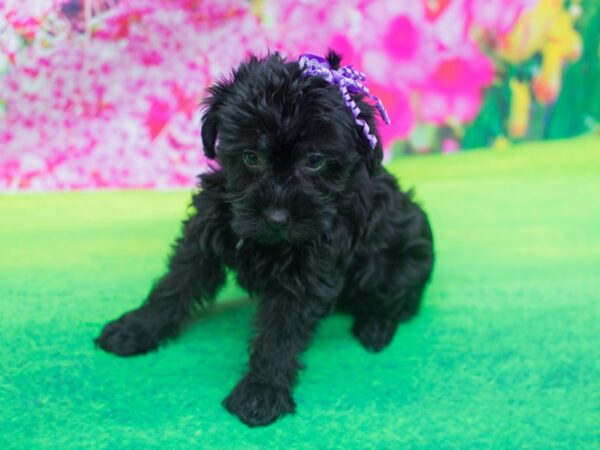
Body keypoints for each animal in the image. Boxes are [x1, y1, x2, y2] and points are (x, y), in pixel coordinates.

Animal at [96, 51, 434, 428]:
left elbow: (280, 332)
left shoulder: (306, 272)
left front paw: (262, 391)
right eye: (250, 157)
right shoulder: (204, 234)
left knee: (401, 300)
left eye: (315, 161)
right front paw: (136, 328)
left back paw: (375, 327)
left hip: (402, 262)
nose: (276, 217)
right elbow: (176, 284)